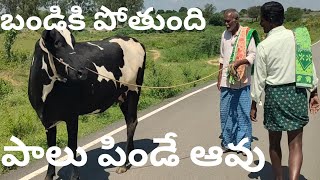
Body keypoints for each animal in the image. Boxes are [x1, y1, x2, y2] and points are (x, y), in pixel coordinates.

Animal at [28, 28, 146, 179]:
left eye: (73, 43)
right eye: (57, 43)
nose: (82, 72)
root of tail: (135, 40)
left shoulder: (72, 116)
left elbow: (72, 146)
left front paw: (74, 176)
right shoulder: (47, 120)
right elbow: (51, 149)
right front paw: (49, 176)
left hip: (133, 90)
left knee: (131, 123)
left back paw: (124, 164)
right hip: (122, 96)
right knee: (130, 121)